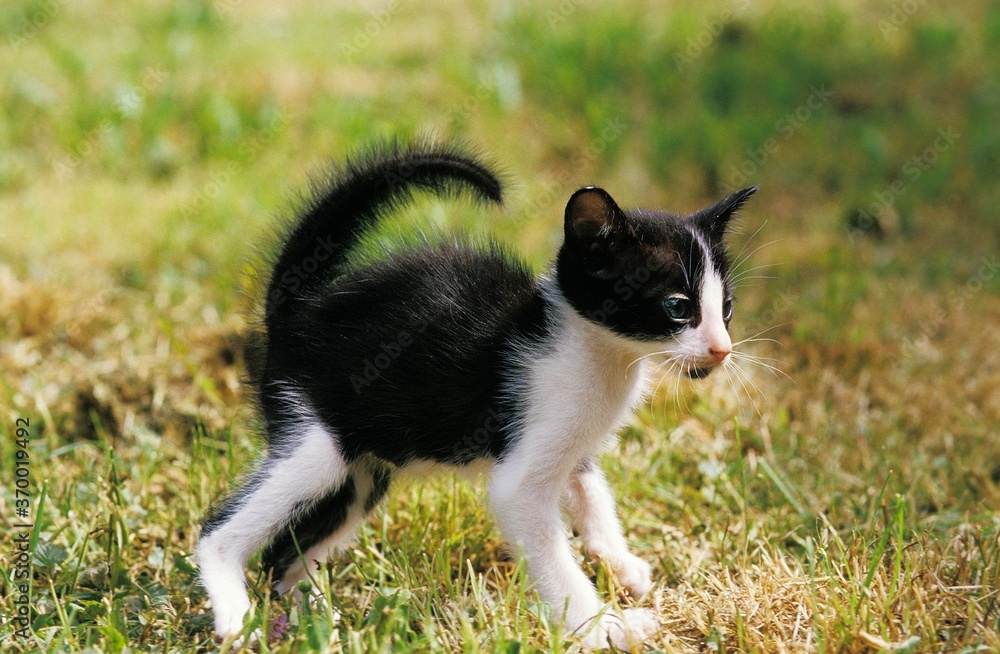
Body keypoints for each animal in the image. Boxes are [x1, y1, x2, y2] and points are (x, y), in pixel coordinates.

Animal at [197, 142, 756, 652]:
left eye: (726, 308)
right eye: (677, 307)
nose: (722, 349)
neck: (599, 352)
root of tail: (295, 309)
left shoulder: (570, 440)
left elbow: (590, 489)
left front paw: (620, 562)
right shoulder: (522, 472)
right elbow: (550, 551)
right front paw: (605, 628)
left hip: (365, 470)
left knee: (285, 555)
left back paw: (317, 622)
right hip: (318, 441)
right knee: (220, 531)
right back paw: (237, 613)